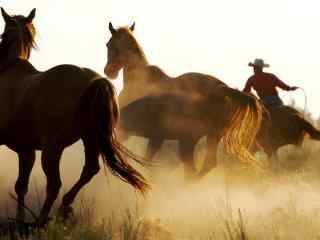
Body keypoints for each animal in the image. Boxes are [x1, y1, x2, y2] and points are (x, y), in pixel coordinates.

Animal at [0, 7, 149, 225]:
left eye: (2, 35)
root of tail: (95, 81)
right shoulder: (26, 150)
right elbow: (21, 185)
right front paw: (19, 220)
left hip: (53, 149)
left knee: (54, 184)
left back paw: (42, 219)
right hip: (89, 139)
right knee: (89, 170)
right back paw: (64, 206)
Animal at [104, 22, 264, 177]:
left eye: (109, 44)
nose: (108, 71)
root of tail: (223, 88)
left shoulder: (130, 130)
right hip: (212, 135)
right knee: (206, 164)